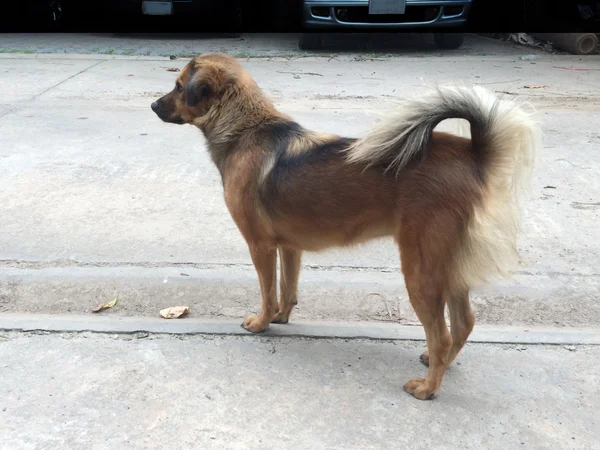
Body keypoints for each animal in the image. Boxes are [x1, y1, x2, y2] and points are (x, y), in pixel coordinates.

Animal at [152, 52, 540, 400]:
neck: (245, 128)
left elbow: (267, 291)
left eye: (179, 86)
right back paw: (437, 362)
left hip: (421, 269)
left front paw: (262, 323)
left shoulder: (260, 246)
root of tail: (474, 153)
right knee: (463, 324)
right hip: (449, 266)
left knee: (442, 333)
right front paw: (281, 318)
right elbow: (288, 289)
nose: (153, 105)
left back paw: (428, 387)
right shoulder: (289, 247)